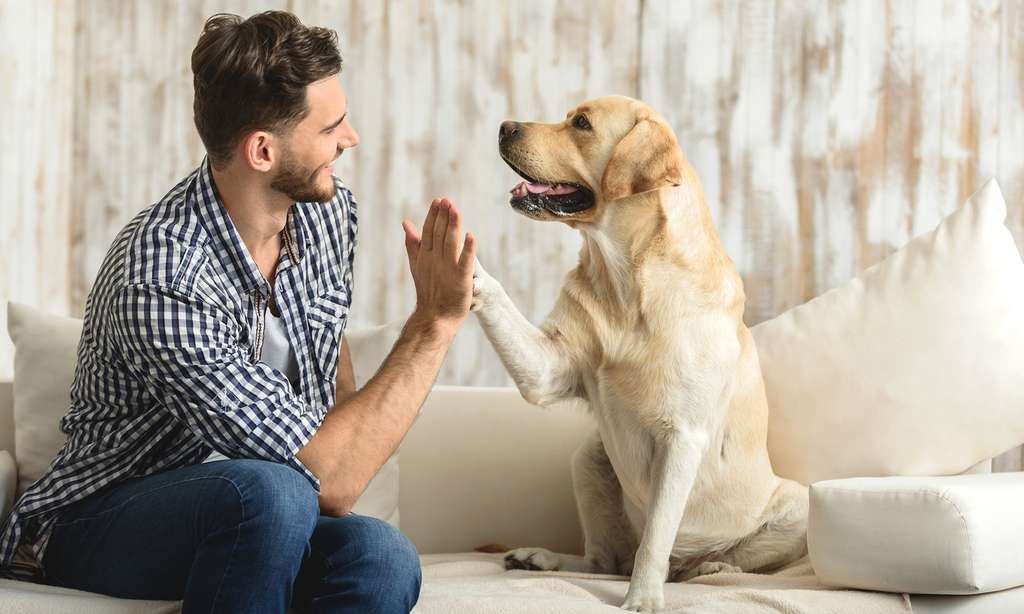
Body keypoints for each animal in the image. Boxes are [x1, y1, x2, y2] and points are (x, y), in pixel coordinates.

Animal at [468, 96, 806, 609]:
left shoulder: (682, 437)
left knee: (704, 561)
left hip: (798, 507)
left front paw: (643, 599)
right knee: (604, 560)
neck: (626, 280)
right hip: (589, 459)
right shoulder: (547, 368)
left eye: (581, 123)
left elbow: (656, 539)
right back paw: (540, 558)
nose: (505, 126)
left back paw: (709, 566)